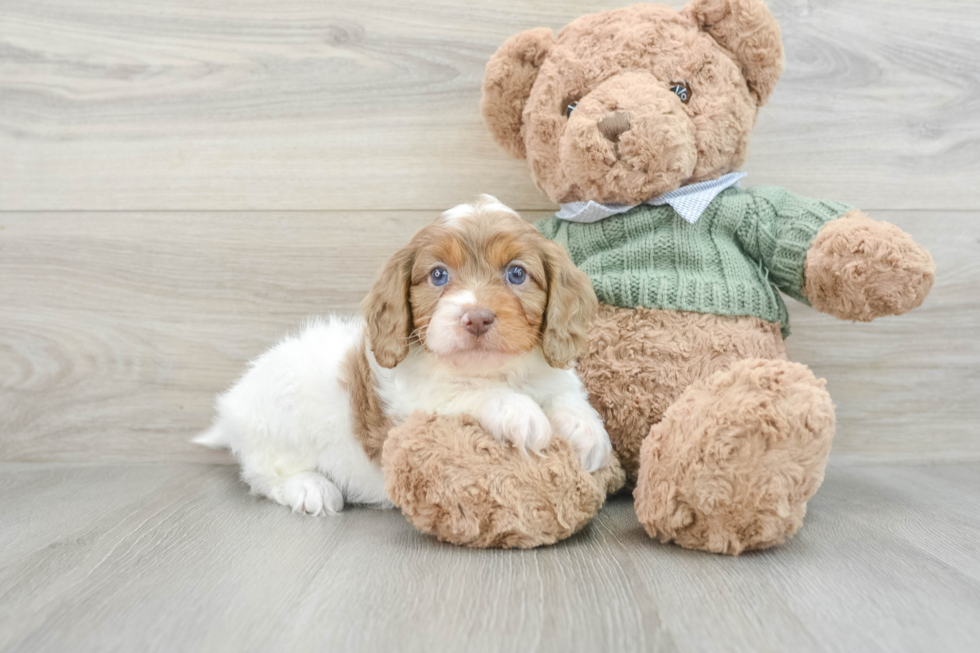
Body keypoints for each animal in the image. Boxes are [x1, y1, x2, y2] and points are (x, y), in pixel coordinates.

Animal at [197, 194, 612, 516]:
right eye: (439, 275)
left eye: (516, 274)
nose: (477, 317)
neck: (496, 370)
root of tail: (235, 404)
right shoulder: (417, 404)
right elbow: (468, 392)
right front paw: (520, 412)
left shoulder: (553, 374)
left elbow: (567, 395)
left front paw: (588, 432)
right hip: (276, 424)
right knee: (264, 472)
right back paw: (309, 488)